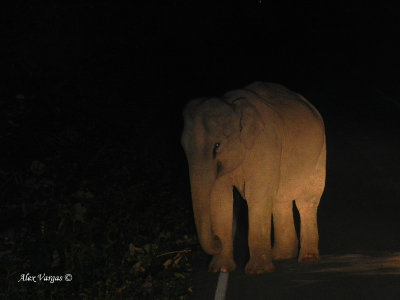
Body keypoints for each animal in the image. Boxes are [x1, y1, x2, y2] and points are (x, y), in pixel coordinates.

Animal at [181, 81, 324, 274]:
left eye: (217, 146)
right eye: (183, 148)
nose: (217, 239)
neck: (233, 107)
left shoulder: (266, 146)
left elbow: (257, 196)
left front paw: (258, 271)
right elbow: (220, 199)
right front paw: (220, 269)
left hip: (319, 153)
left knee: (306, 201)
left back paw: (307, 260)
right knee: (280, 199)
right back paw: (281, 255)